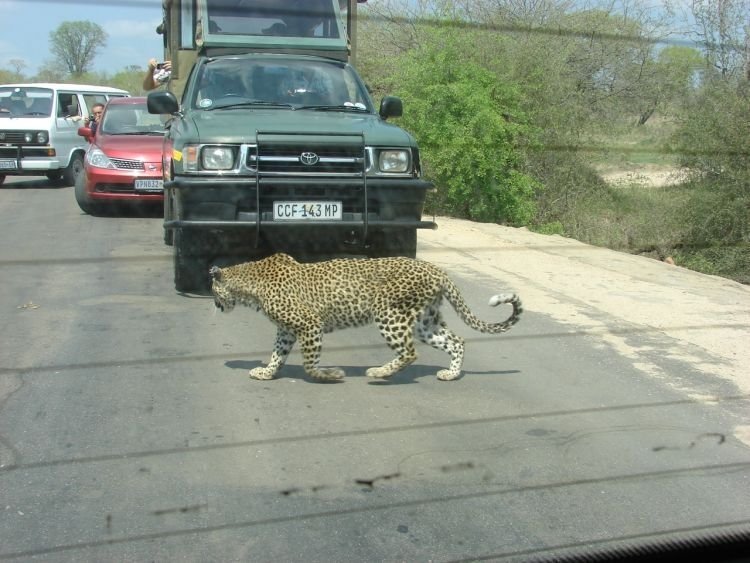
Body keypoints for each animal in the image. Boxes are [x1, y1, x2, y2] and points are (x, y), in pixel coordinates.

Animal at [209, 254, 524, 384]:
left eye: (211, 288)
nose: (214, 304)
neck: (249, 285)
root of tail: (437, 270)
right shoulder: (287, 331)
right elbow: (277, 354)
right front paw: (266, 372)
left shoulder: (309, 324)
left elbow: (309, 364)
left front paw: (330, 375)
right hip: (425, 321)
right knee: (456, 341)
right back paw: (450, 374)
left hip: (389, 313)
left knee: (409, 352)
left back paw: (378, 373)